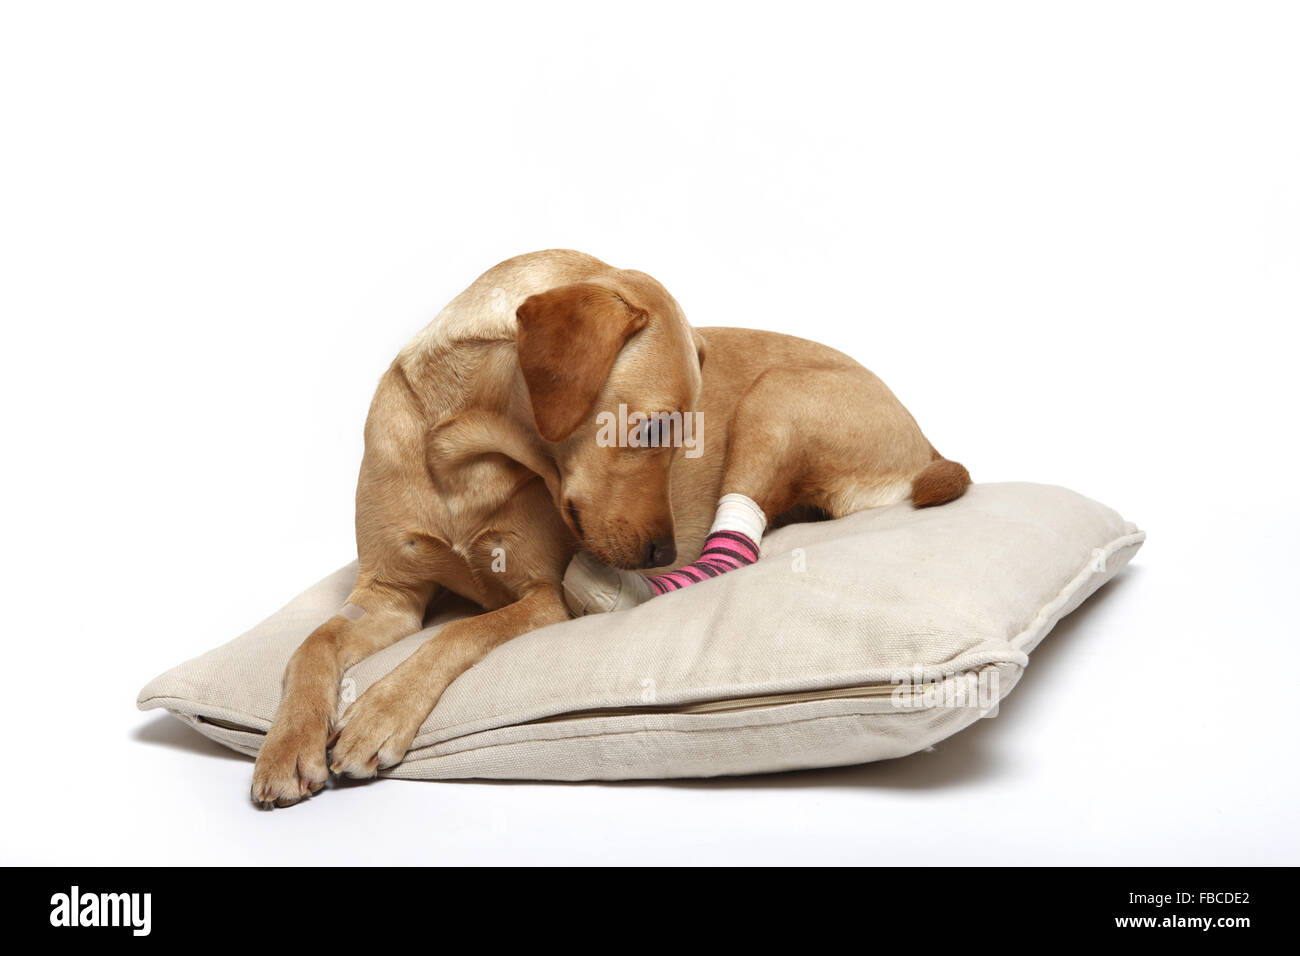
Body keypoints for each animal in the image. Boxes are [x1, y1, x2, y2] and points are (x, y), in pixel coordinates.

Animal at [250, 248, 967, 806]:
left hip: (777, 397)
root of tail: (925, 436)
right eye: (651, 429)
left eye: (685, 431)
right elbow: (311, 644)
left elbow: (460, 633)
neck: (460, 454)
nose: (662, 550)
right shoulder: (386, 595)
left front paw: (380, 711)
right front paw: (287, 746)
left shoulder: (543, 595)